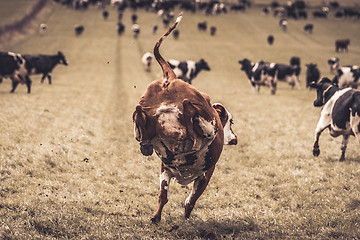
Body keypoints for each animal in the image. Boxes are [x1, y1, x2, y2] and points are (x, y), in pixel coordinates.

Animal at [132, 12, 236, 223]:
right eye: (231, 121)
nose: (234, 139)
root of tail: (170, 78)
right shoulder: (205, 175)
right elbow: (191, 200)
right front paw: (185, 218)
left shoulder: (165, 170)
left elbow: (163, 196)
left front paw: (156, 217)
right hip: (207, 120)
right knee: (193, 112)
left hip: (146, 113)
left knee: (139, 116)